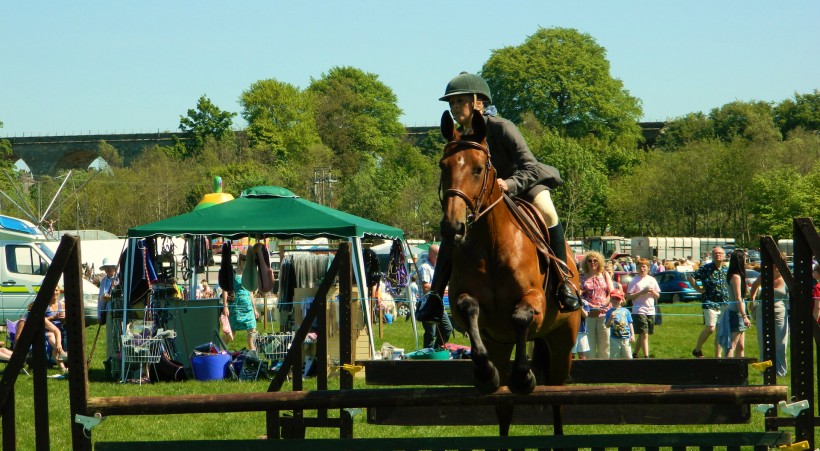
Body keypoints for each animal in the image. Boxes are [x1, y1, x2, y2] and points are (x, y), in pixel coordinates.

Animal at [438, 108, 580, 434]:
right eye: (443, 166)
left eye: (478, 169)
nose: (453, 228)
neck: (491, 243)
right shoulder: (466, 303)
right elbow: (469, 308)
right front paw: (484, 375)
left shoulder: (534, 300)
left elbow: (520, 317)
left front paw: (523, 377)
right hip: (501, 347)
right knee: (504, 408)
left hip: (563, 342)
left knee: (558, 397)